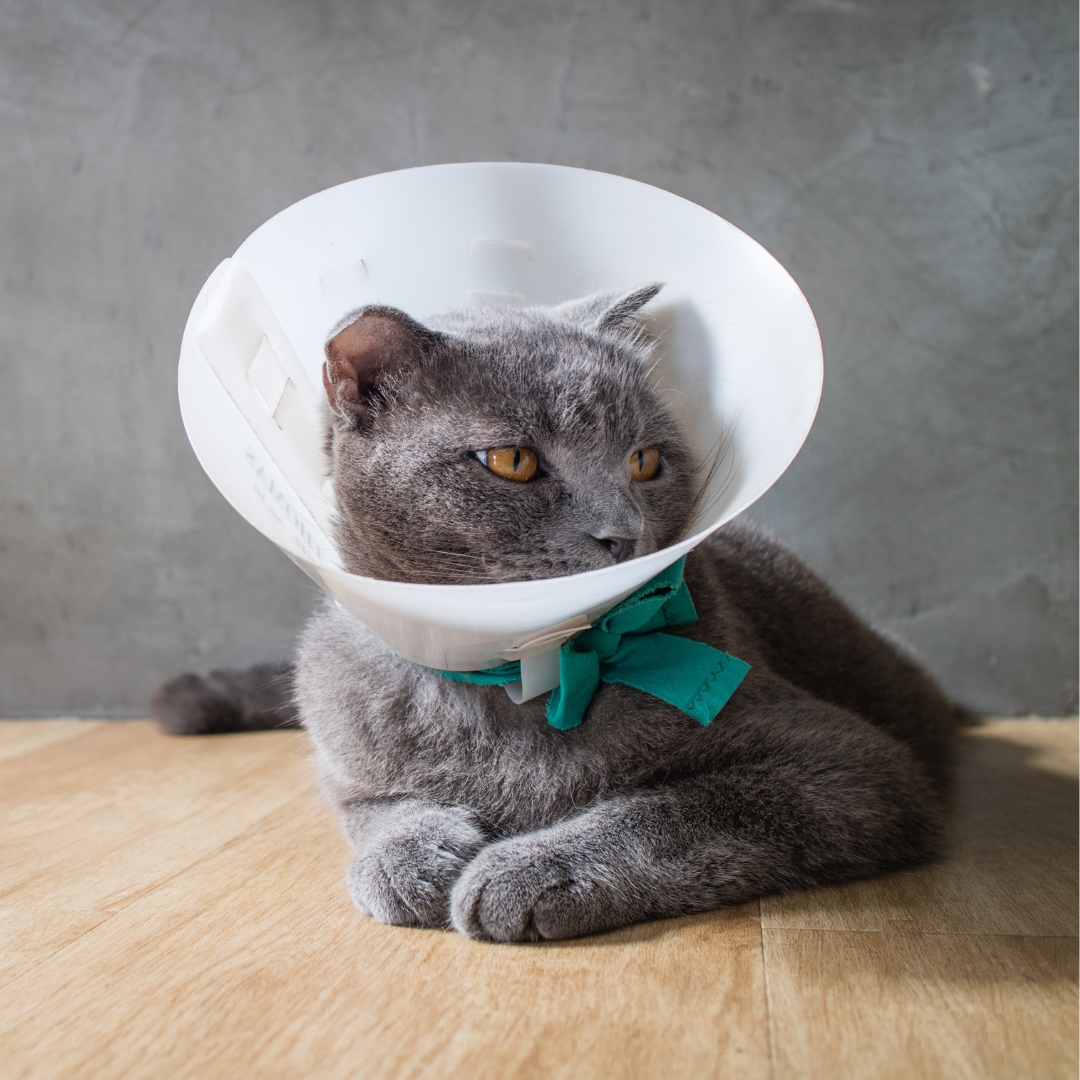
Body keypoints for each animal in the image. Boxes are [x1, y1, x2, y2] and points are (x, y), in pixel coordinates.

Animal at [152, 282, 954, 941]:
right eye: (512, 462)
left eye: (644, 460)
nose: (623, 532)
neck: (525, 678)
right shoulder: (344, 751)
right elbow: (375, 808)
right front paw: (412, 860)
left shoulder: (851, 765)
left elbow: (677, 807)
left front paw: (528, 871)